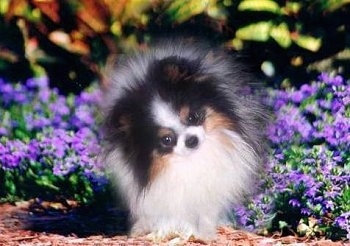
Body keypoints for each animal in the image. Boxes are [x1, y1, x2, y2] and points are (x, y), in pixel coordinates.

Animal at [101, 39, 268, 241]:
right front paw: (165, 233)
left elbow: (205, 216)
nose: (191, 139)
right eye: (167, 139)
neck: (192, 160)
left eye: (192, 117)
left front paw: (204, 234)